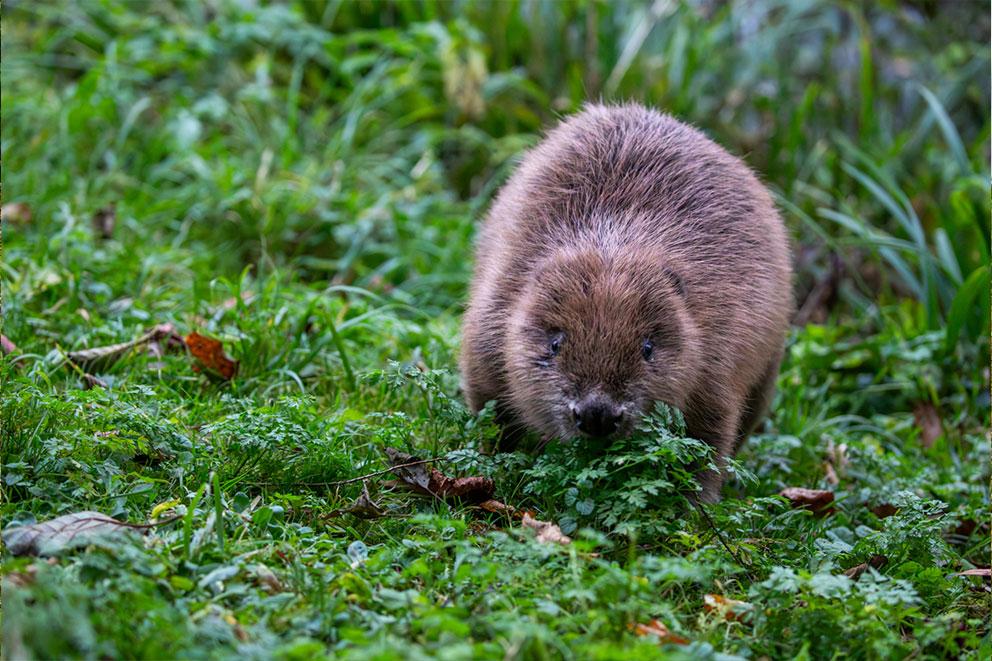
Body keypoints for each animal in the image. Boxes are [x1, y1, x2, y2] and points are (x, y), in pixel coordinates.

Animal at [462, 102, 796, 500]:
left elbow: (708, 441)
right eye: (555, 343)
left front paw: (693, 504)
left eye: (647, 347)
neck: (611, 239)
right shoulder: (493, 316)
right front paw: (496, 471)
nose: (597, 414)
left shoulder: (717, 357)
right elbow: (489, 409)